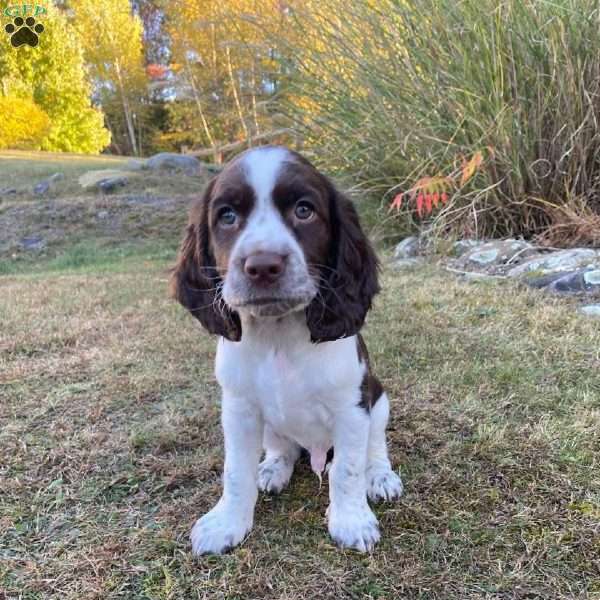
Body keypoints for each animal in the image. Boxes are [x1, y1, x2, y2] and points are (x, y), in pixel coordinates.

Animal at [170, 144, 404, 552]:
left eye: (304, 210)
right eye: (227, 216)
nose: (263, 266)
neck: (278, 337)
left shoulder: (352, 408)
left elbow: (348, 469)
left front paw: (352, 521)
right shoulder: (239, 409)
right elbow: (235, 472)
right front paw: (226, 523)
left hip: (379, 401)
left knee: (373, 448)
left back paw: (380, 476)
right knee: (284, 448)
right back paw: (272, 468)